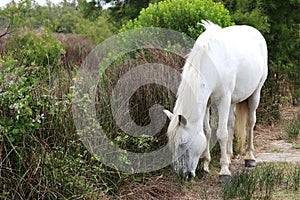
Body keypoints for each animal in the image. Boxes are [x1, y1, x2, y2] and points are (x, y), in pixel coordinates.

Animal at [163, 20, 268, 181]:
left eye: (183, 143)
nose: (182, 175)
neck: (213, 64)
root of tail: (255, 31)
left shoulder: (223, 100)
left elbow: (221, 134)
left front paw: (224, 171)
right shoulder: (207, 103)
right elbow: (207, 132)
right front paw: (206, 165)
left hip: (255, 94)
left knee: (250, 122)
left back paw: (249, 157)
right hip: (232, 101)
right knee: (231, 123)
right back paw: (229, 156)